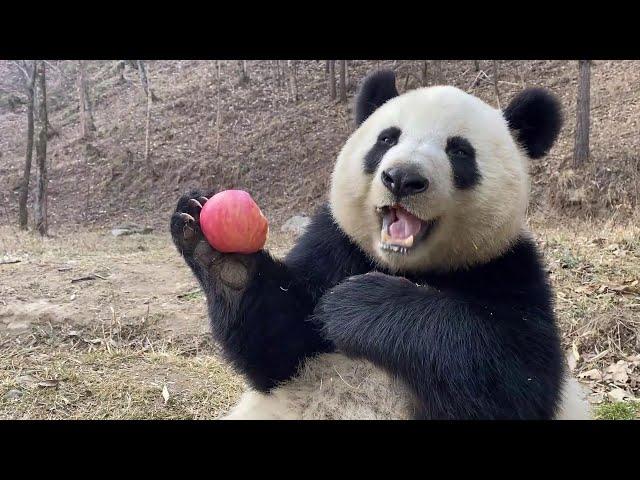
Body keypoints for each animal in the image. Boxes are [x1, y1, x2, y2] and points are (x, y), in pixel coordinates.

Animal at [170, 69, 592, 418]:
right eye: (387, 138)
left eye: (459, 151)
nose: (402, 178)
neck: (400, 264)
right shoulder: (335, 243)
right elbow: (277, 346)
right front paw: (223, 260)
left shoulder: (509, 267)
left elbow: (513, 376)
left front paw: (354, 303)